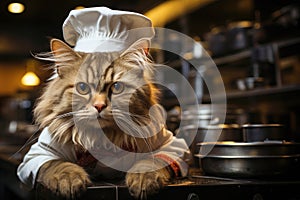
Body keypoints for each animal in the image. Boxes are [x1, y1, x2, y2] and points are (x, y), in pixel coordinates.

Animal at [17, 38, 188, 199]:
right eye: (83, 88)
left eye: (117, 87)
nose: (99, 106)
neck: (103, 139)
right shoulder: (37, 155)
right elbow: (57, 164)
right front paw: (70, 179)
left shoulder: (172, 145)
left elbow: (152, 161)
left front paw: (143, 178)